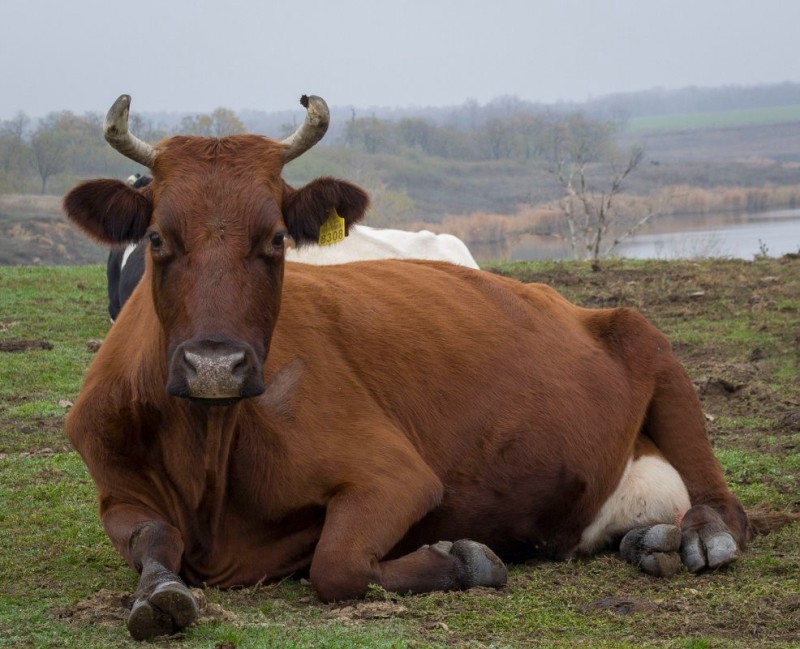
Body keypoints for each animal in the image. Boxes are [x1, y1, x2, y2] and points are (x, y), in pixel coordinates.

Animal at [62, 93, 752, 640]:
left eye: (277, 238)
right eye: (157, 238)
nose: (214, 366)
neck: (208, 465)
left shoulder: (393, 475)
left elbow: (337, 565)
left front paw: (465, 559)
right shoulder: (117, 490)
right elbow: (153, 540)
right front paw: (159, 596)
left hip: (647, 340)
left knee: (724, 505)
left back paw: (697, 536)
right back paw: (649, 542)